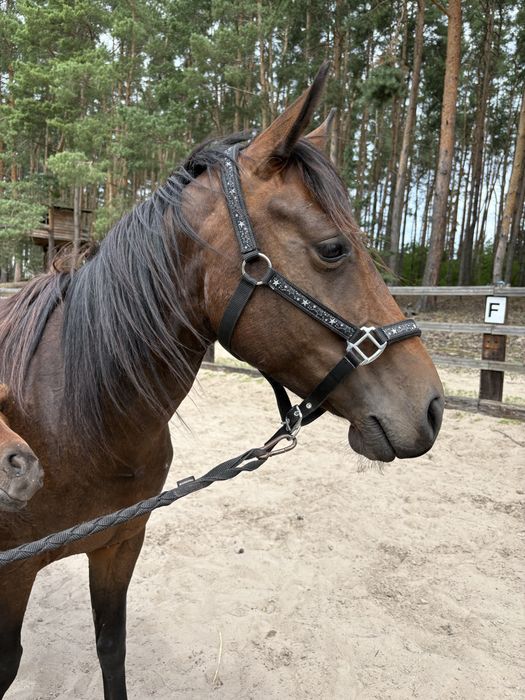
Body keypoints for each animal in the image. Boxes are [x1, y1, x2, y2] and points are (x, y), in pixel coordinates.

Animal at [0, 64, 443, 699]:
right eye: (334, 249)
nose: (432, 407)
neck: (73, 417)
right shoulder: (13, 576)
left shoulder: (120, 543)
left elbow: (111, 646)